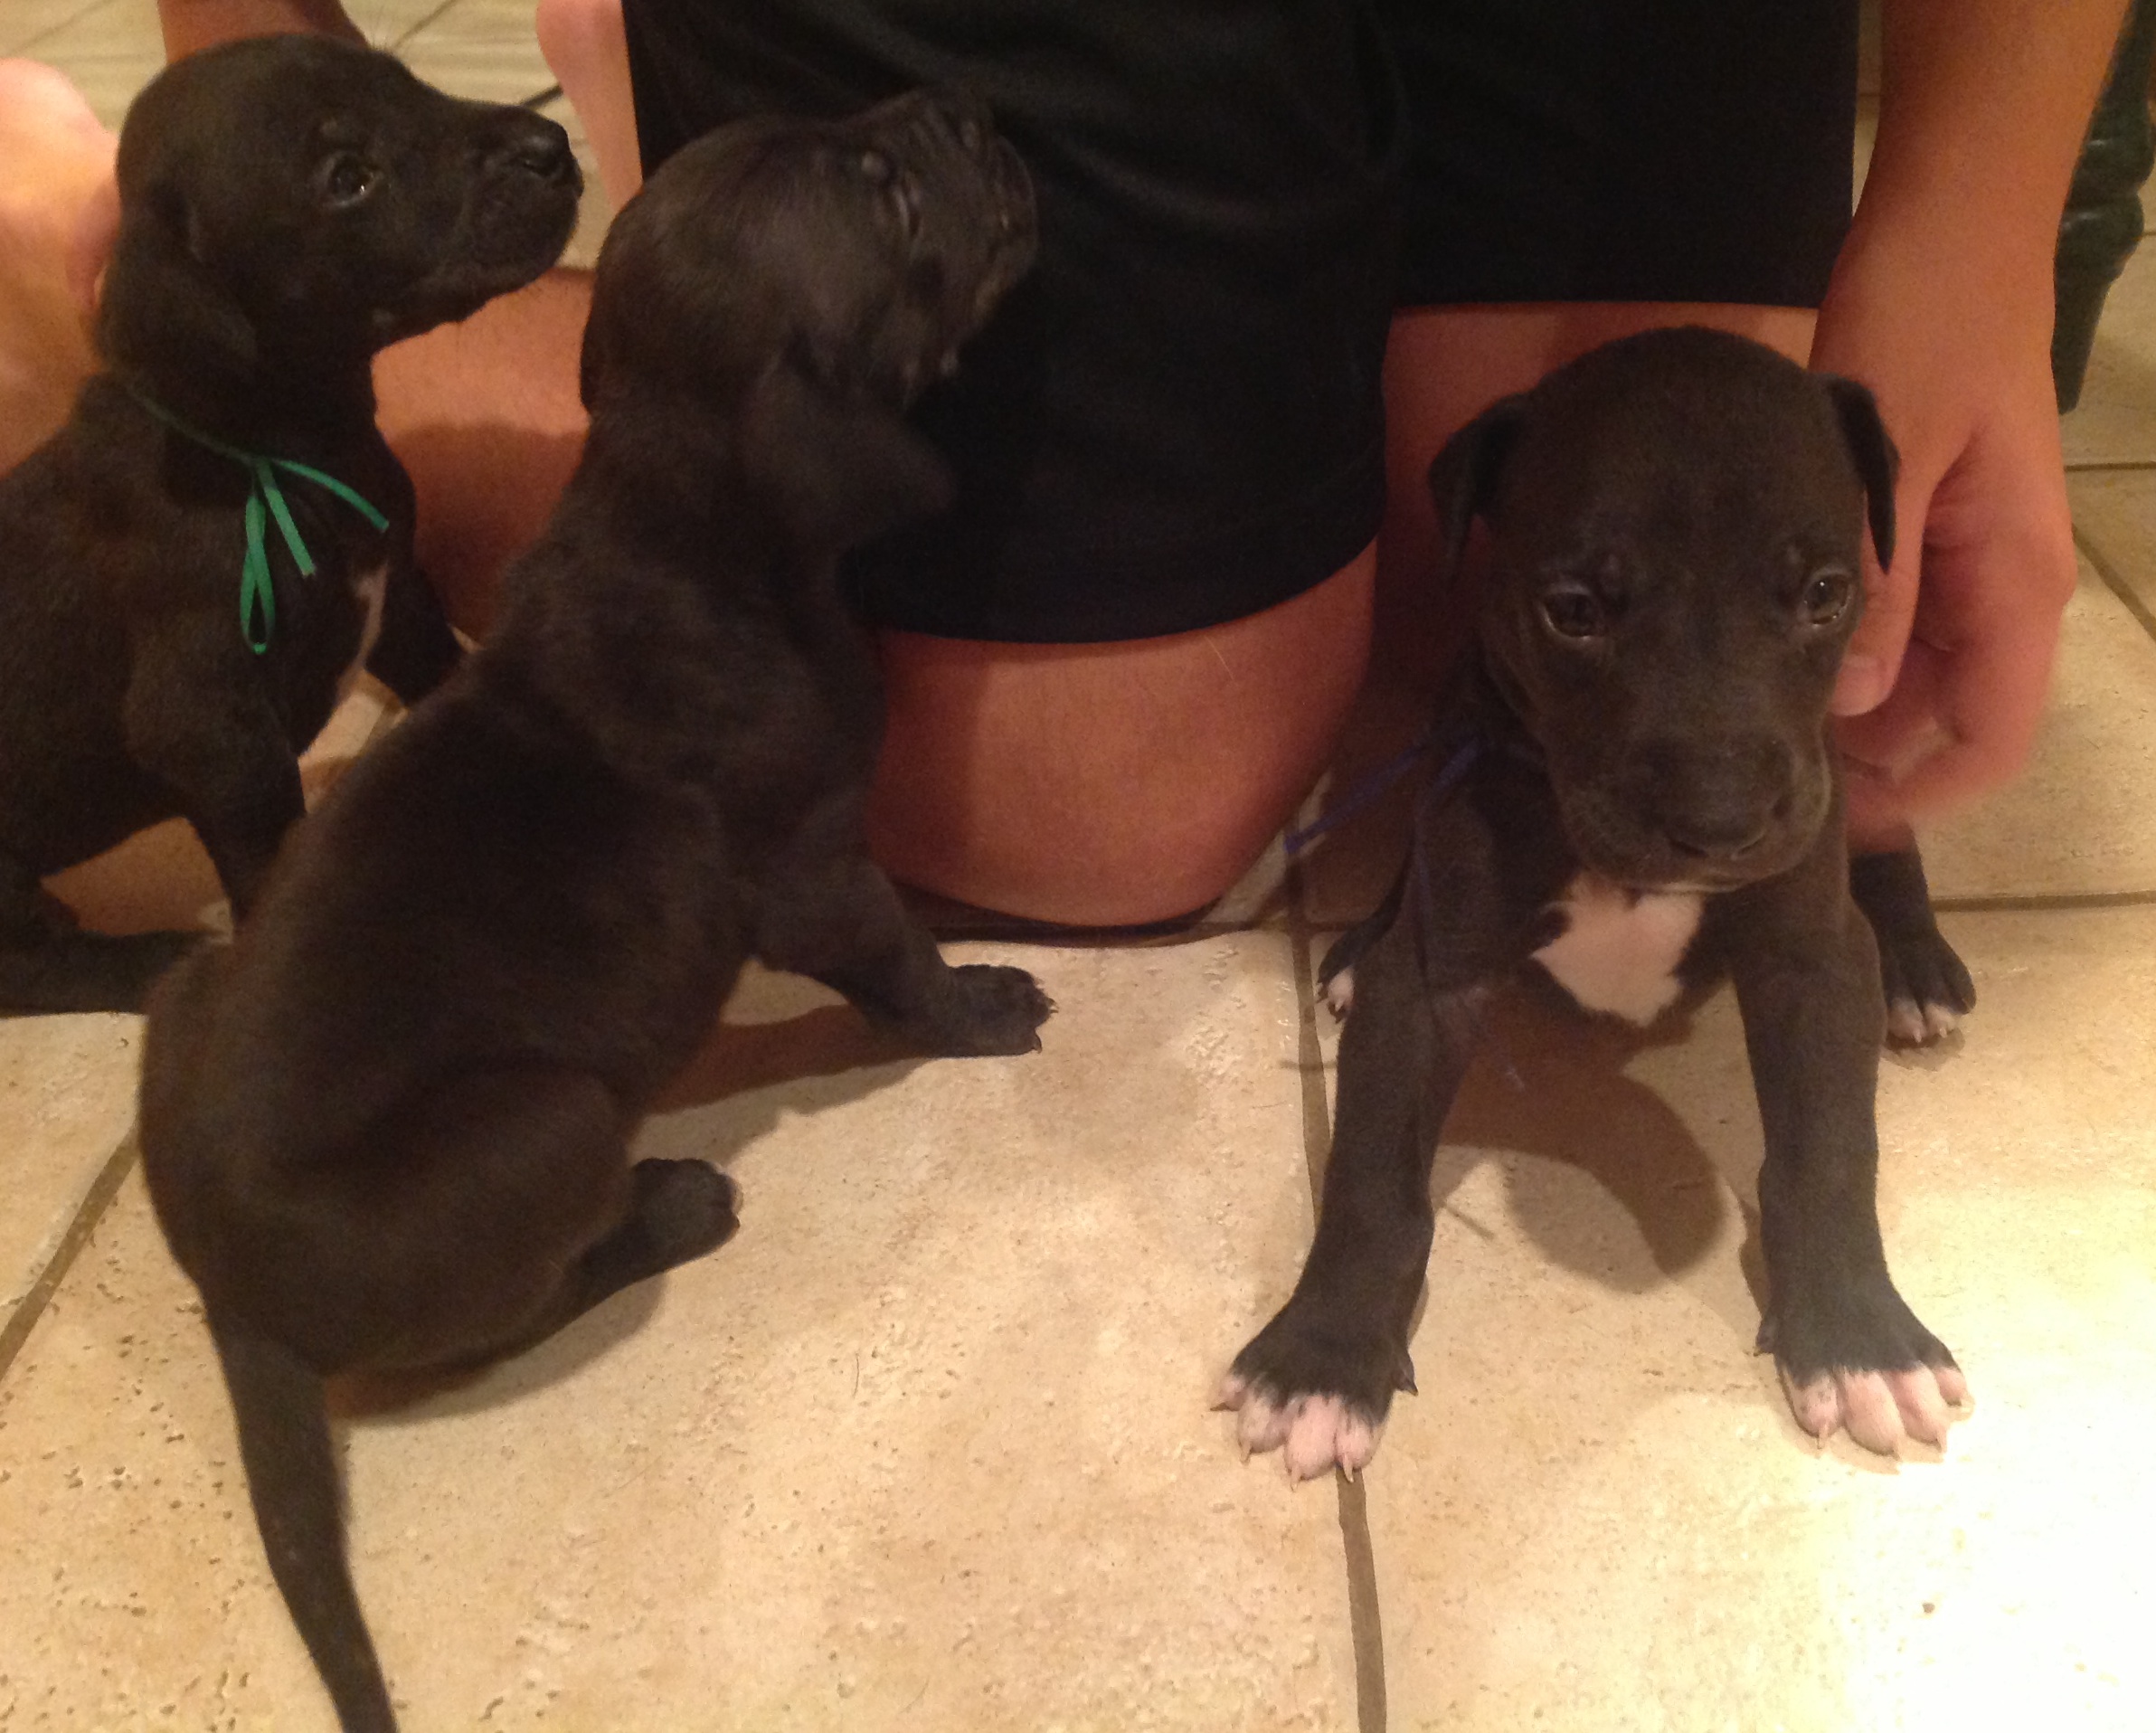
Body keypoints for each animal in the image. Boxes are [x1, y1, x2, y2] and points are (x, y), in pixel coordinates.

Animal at [0, 37, 582, 1017]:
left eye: (408, 86)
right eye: (348, 179)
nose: (551, 147)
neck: (269, 454)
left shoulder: (401, 600)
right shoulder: (211, 729)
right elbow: (267, 867)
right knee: (29, 969)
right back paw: (150, 961)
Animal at [135, 91, 1043, 1715]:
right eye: (884, 194)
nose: (957, 105)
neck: (690, 519)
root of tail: (227, 1294)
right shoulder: (810, 871)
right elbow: (898, 953)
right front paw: (982, 1001)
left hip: (182, 990)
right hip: (544, 1118)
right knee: (522, 1298)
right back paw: (670, 1204)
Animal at [1225, 331, 1966, 1482]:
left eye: (1824, 592)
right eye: (1571, 610)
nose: (1720, 819)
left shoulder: (1808, 962)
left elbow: (1830, 1149)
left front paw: (1859, 1340)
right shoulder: (1430, 985)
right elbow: (1370, 1179)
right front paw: (1321, 1359)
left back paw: (1914, 961)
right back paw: (1353, 943)